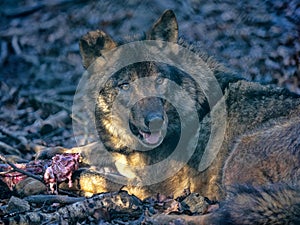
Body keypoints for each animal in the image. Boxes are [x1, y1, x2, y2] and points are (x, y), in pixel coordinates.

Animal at [39, 10, 300, 223]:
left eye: (159, 80)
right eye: (125, 86)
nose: (155, 121)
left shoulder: (155, 184)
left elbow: (95, 177)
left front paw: (68, 175)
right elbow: (93, 148)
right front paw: (49, 152)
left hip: (239, 155)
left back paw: (165, 219)